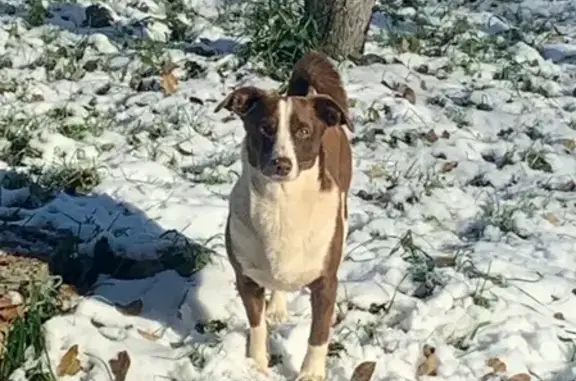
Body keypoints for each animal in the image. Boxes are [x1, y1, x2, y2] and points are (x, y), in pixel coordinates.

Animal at [214, 51, 354, 380]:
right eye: (266, 128)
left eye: (303, 131)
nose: (282, 164)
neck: (281, 204)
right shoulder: (246, 277)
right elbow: (256, 323)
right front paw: (256, 364)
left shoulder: (326, 283)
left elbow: (319, 333)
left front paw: (312, 372)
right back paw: (276, 306)